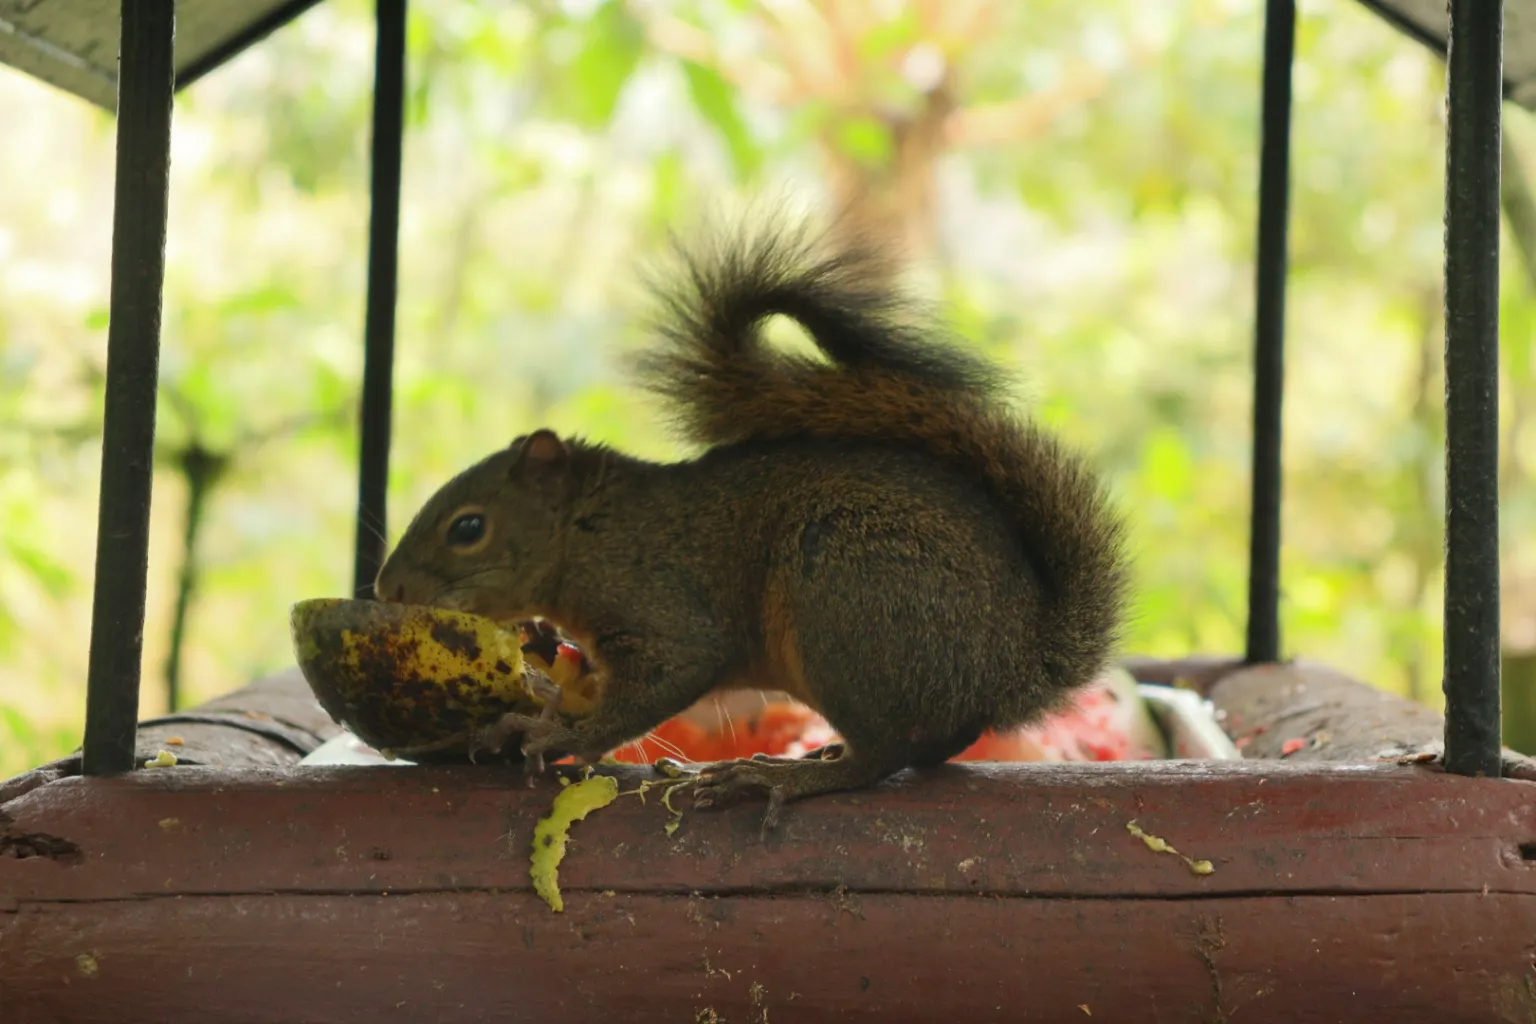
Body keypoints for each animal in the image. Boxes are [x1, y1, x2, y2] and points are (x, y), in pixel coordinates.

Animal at [374, 216, 1130, 835]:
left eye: (467, 527)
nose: (387, 590)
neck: (590, 531)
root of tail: (1015, 661)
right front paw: (521, 718)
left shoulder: (664, 605)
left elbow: (660, 680)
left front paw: (563, 738)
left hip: (844, 593)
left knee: (885, 754)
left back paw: (784, 776)